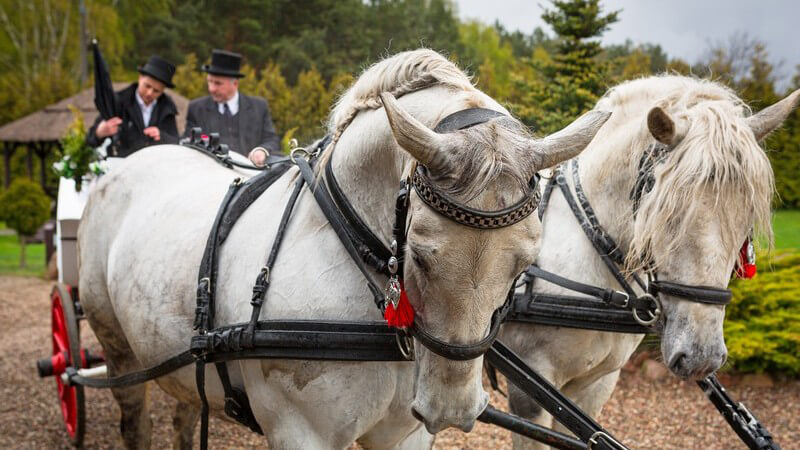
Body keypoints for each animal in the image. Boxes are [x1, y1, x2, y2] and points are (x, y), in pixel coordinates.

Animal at [79, 49, 608, 446]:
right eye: (419, 256)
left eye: (524, 265)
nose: (451, 409)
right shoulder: (301, 432)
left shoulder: (403, 436)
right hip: (118, 348)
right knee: (134, 417)